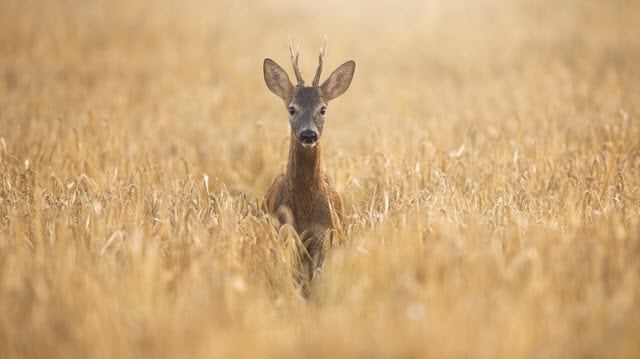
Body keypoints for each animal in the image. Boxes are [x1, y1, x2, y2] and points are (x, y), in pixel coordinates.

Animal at [262, 36, 356, 296]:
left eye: (323, 109)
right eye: (292, 108)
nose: (308, 134)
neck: (304, 210)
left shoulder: (325, 235)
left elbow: (315, 279)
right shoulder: (284, 230)